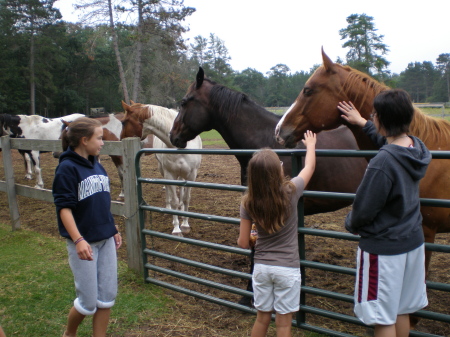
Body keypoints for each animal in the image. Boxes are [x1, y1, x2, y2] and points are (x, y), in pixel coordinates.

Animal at [121, 101, 202, 235]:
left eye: (123, 122)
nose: (120, 140)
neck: (180, 146)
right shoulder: (169, 174)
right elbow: (174, 201)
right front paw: (176, 228)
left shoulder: (191, 175)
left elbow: (186, 199)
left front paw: (185, 224)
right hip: (163, 171)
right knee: (168, 191)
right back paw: (168, 208)